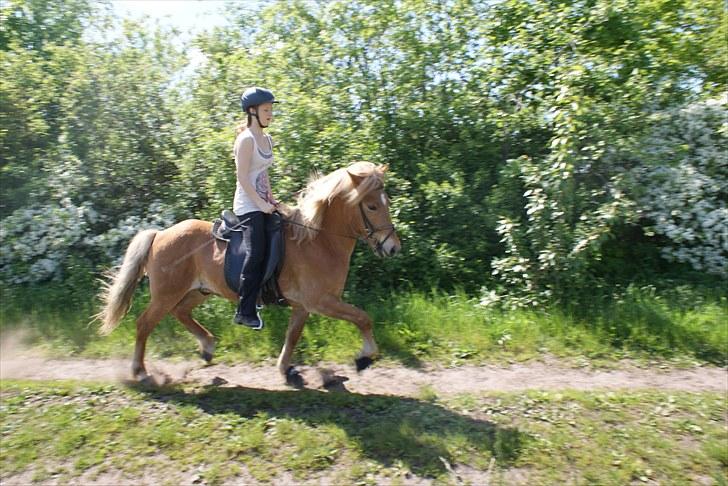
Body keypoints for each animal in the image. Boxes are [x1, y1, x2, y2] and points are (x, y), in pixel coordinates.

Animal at [96, 161, 400, 386]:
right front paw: (365, 356)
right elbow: (363, 318)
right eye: (372, 206)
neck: (318, 240)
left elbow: (292, 336)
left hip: (199, 291)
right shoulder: (321, 302)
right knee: (144, 324)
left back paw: (207, 346)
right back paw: (141, 372)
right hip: (167, 293)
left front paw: (285, 369)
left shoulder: (303, 306)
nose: (393, 247)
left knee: (180, 312)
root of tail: (159, 234)